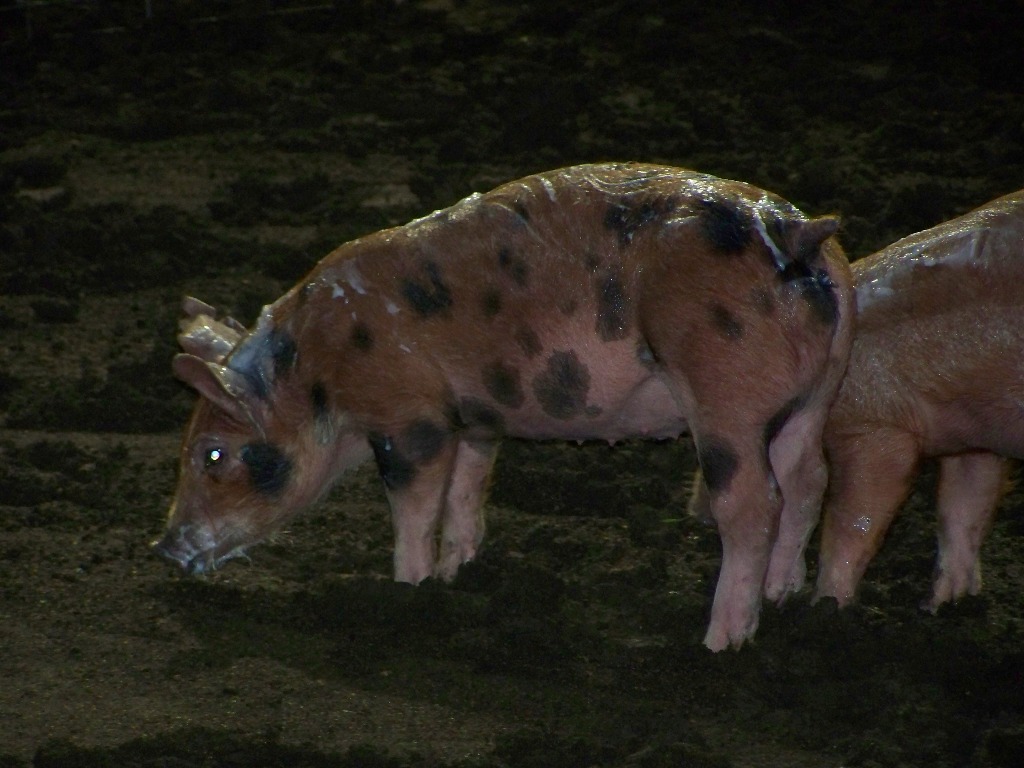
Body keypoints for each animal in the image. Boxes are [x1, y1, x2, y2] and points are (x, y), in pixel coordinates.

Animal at [152, 163, 854, 651]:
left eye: (212, 455)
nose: (163, 549)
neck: (321, 372)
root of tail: (797, 234)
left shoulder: (410, 413)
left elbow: (414, 503)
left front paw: (409, 591)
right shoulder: (474, 415)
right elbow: (467, 490)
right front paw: (457, 573)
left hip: (724, 395)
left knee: (753, 504)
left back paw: (719, 643)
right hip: (817, 389)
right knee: (808, 479)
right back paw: (784, 598)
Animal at [812, 189, 1024, 611]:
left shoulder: (874, 427)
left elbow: (855, 513)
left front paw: (824, 606)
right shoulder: (974, 431)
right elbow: (963, 506)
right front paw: (943, 605)